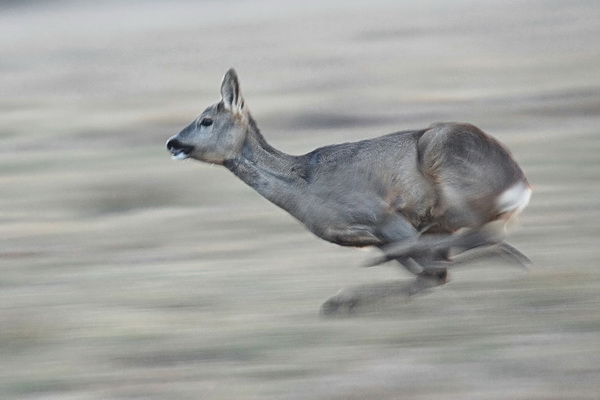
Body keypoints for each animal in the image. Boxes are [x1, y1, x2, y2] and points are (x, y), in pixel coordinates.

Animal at [164, 68, 528, 312]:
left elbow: (432, 273)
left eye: (206, 120)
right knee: (479, 240)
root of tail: (519, 182)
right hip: (447, 209)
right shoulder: (383, 234)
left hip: (445, 166)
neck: (304, 188)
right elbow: (427, 274)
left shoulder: (385, 216)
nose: (172, 143)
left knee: (485, 234)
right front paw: (343, 302)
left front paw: (341, 301)